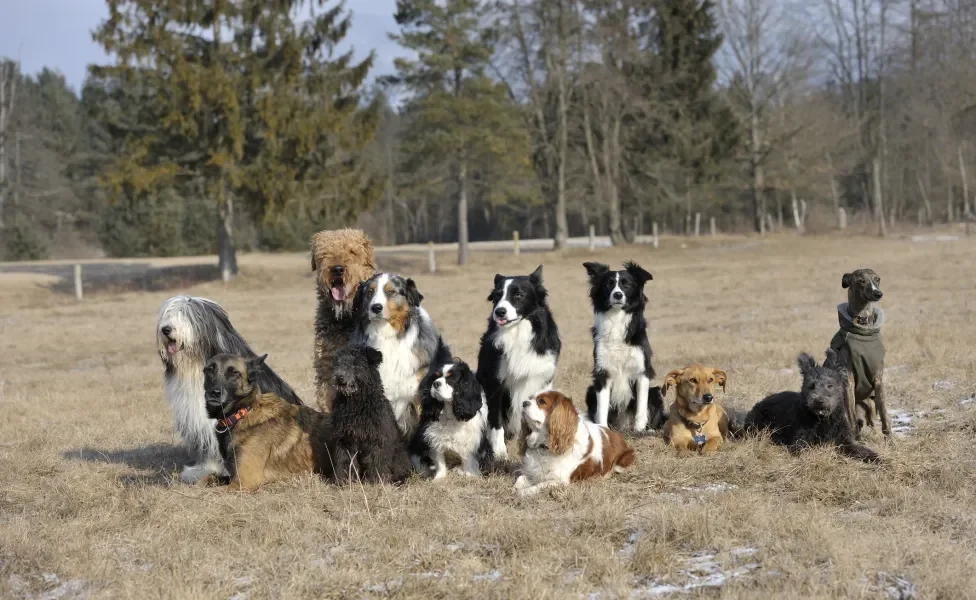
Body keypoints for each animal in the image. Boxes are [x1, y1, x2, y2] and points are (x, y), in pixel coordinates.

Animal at [202, 354, 336, 490]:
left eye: (234, 372)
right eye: (210, 370)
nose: (214, 393)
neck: (243, 412)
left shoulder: (243, 482)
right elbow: (206, 478)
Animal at [328, 344, 412, 486]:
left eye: (356, 364)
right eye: (338, 362)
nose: (339, 377)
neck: (357, 405)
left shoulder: (377, 439)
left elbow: (376, 461)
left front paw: (376, 482)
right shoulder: (344, 440)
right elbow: (344, 462)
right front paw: (342, 481)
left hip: (399, 453)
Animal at [744, 346, 880, 464]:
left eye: (830, 385)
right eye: (811, 385)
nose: (819, 401)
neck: (822, 419)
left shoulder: (845, 441)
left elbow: (860, 450)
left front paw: (877, 458)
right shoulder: (799, 442)